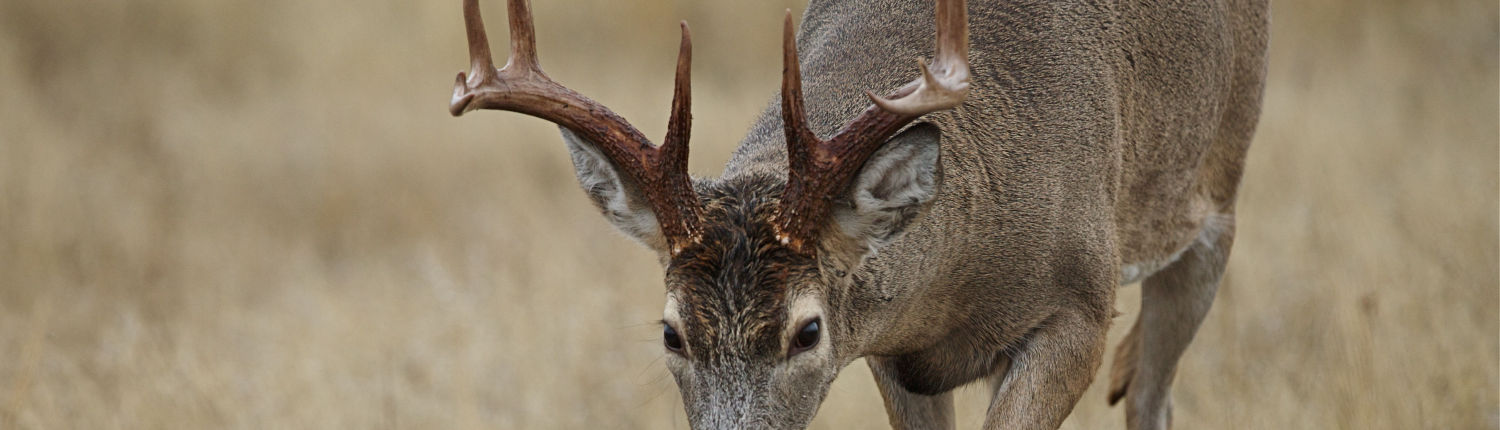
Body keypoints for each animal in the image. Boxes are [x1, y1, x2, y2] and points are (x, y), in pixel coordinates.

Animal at [447, 0, 1267, 428]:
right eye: (672, 333)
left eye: (807, 331)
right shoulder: (891, 354)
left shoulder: (1080, 309)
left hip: (1216, 194)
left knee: (1154, 393)